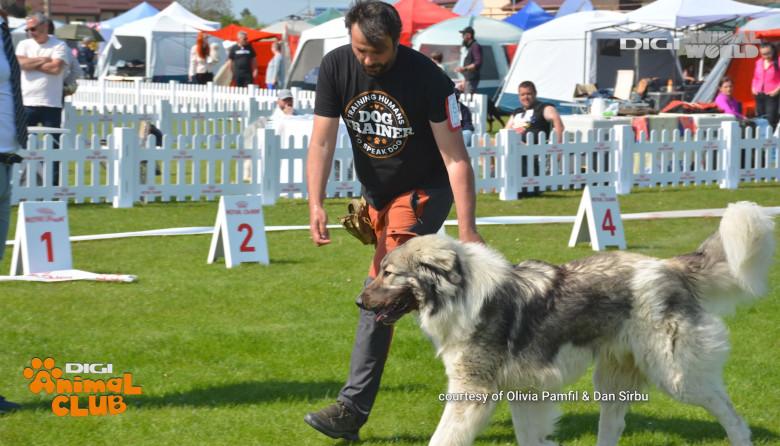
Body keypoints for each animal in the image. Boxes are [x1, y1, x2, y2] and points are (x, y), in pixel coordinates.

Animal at [358, 203, 772, 446]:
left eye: (389, 274)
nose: (359, 303)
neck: (459, 295)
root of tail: (669, 266)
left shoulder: (472, 393)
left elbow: (442, 439)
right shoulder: (523, 391)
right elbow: (529, 437)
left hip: (677, 376)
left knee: (731, 414)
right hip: (613, 380)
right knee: (612, 427)